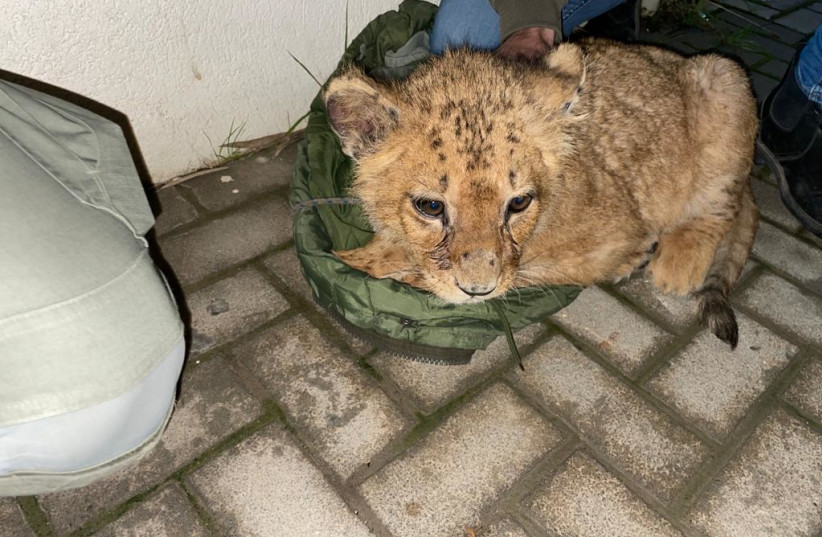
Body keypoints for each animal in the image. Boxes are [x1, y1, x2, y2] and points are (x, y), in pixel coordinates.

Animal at [323, 38, 759, 348]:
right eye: (431, 207)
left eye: (518, 203)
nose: (477, 289)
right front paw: (355, 259)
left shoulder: (615, 236)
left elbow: (529, 274)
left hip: (724, 76)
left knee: (721, 206)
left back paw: (676, 265)